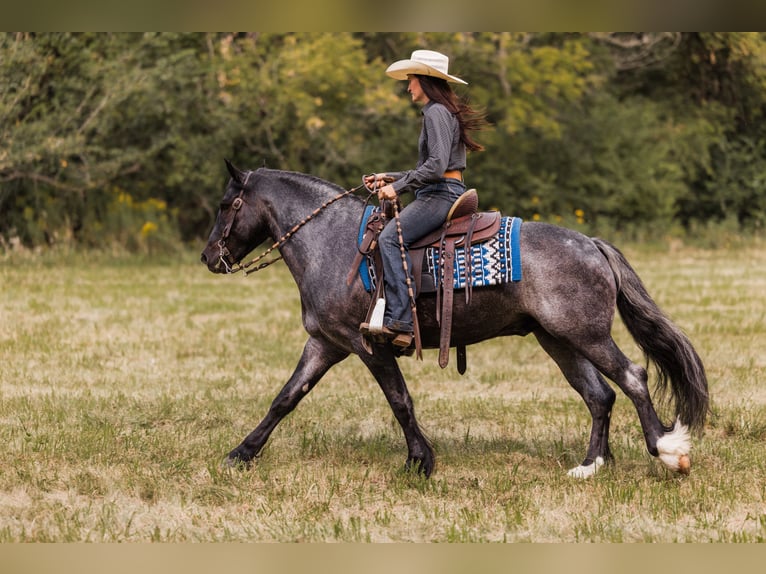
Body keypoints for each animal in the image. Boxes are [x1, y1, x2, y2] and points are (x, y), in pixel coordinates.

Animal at [201, 161, 709, 479]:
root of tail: (591, 243)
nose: (209, 257)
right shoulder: (325, 343)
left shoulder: (368, 345)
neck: (334, 242)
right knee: (600, 395)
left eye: (227, 205)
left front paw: (420, 462)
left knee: (634, 377)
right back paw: (590, 466)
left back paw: (667, 452)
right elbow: (286, 398)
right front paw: (241, 454)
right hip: (559, 340)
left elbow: (400, 401)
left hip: (587, 335)